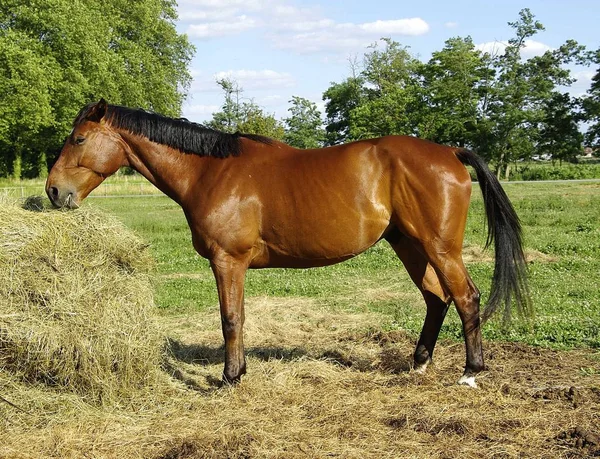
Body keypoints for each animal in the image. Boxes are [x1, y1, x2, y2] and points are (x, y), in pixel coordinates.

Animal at [45, 99, 528, 388]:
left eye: (79, 139)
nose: (53, 191)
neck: (211, 172)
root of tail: (450, 152)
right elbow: (237, 319)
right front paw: (239, 372)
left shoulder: (227, 261)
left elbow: (231, 320)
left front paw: (230, 378)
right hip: (408, 245)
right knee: (435, 299)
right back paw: (420, 362)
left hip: (439, 247)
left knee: (465, 297)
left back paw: (470, 371)